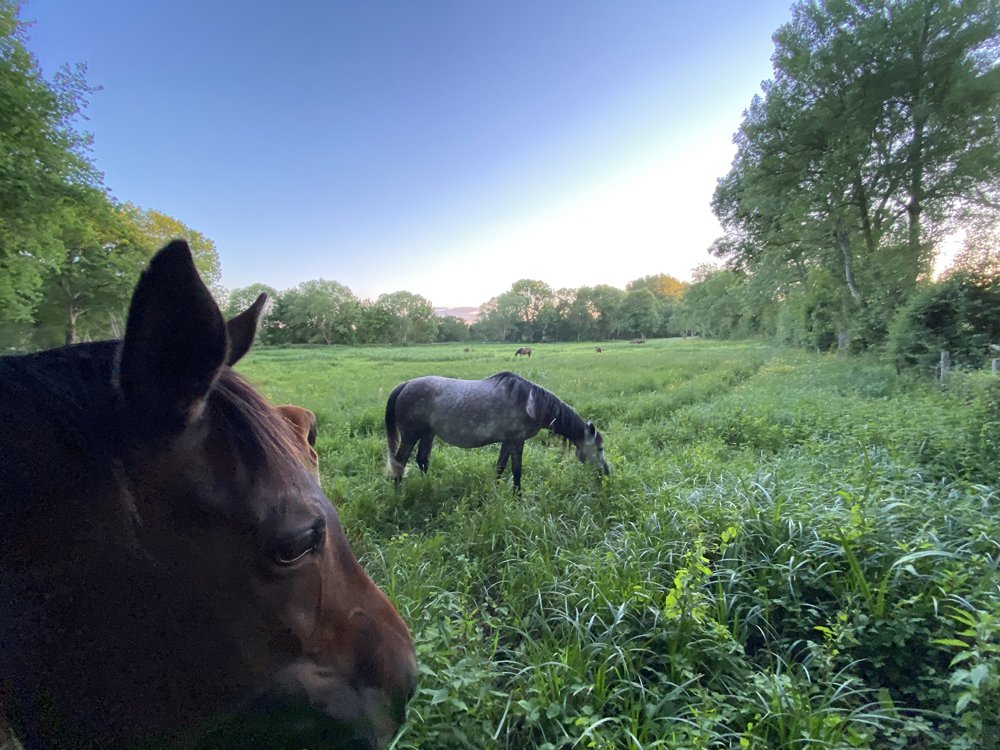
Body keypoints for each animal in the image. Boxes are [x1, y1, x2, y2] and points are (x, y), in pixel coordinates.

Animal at [385, 371, 609, 490]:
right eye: (600, 449)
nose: (606, 473)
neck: (532, 403)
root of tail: (405, 385)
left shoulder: (507, 441)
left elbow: (500, 467)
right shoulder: (517, 440)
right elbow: (516, 470)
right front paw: (518, 496)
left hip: (428, 434)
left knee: (422, 460)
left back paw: (428, 485)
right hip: (411, 435)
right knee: (400, 461)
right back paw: (399, 491)